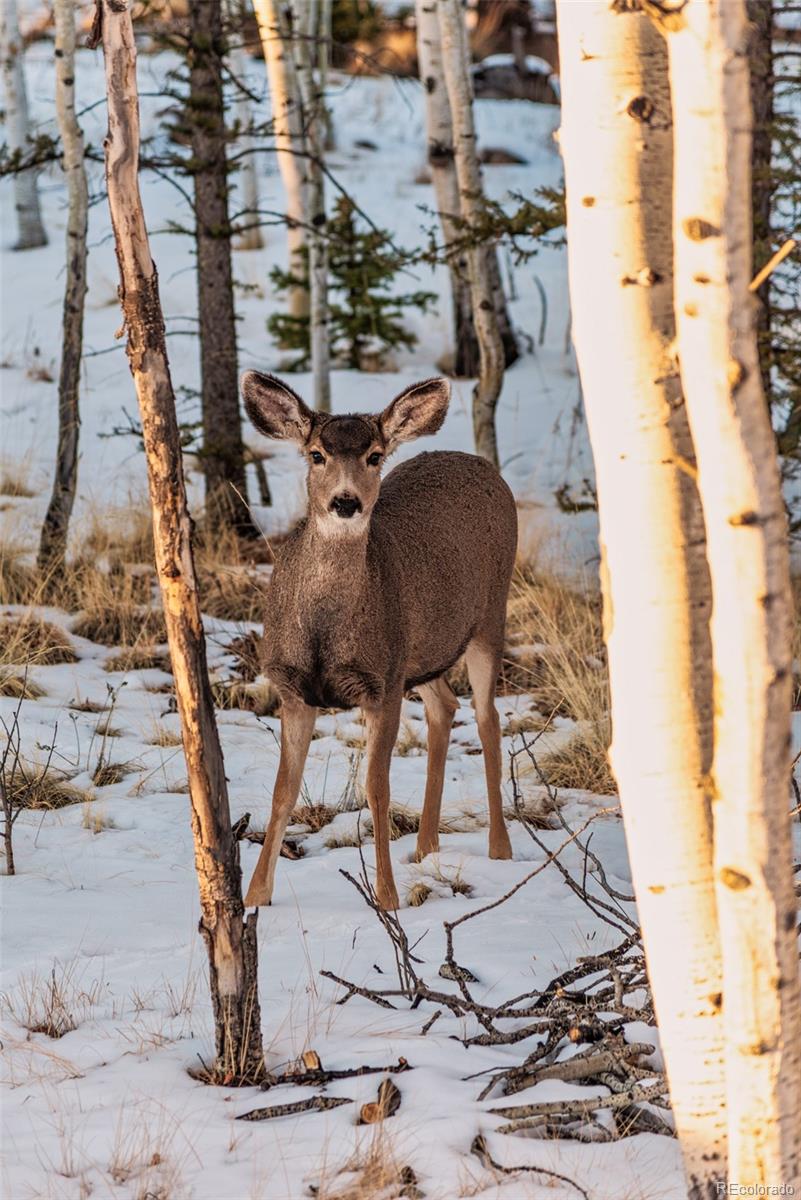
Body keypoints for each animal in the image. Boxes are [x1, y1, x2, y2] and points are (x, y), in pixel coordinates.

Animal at [239, 374, 513, 907]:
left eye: (375, 455)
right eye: (316, 454)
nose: (346, 502)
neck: (325, 631)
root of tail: (480, 464)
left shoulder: (379, 686)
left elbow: (376, 788)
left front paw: (386, 897)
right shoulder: (293, 687)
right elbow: (284, 791)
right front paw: (255, 895)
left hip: (488, 618)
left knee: (488, 718)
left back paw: (500, 849)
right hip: (420, 651)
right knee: (445, 705)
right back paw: (426, 847)